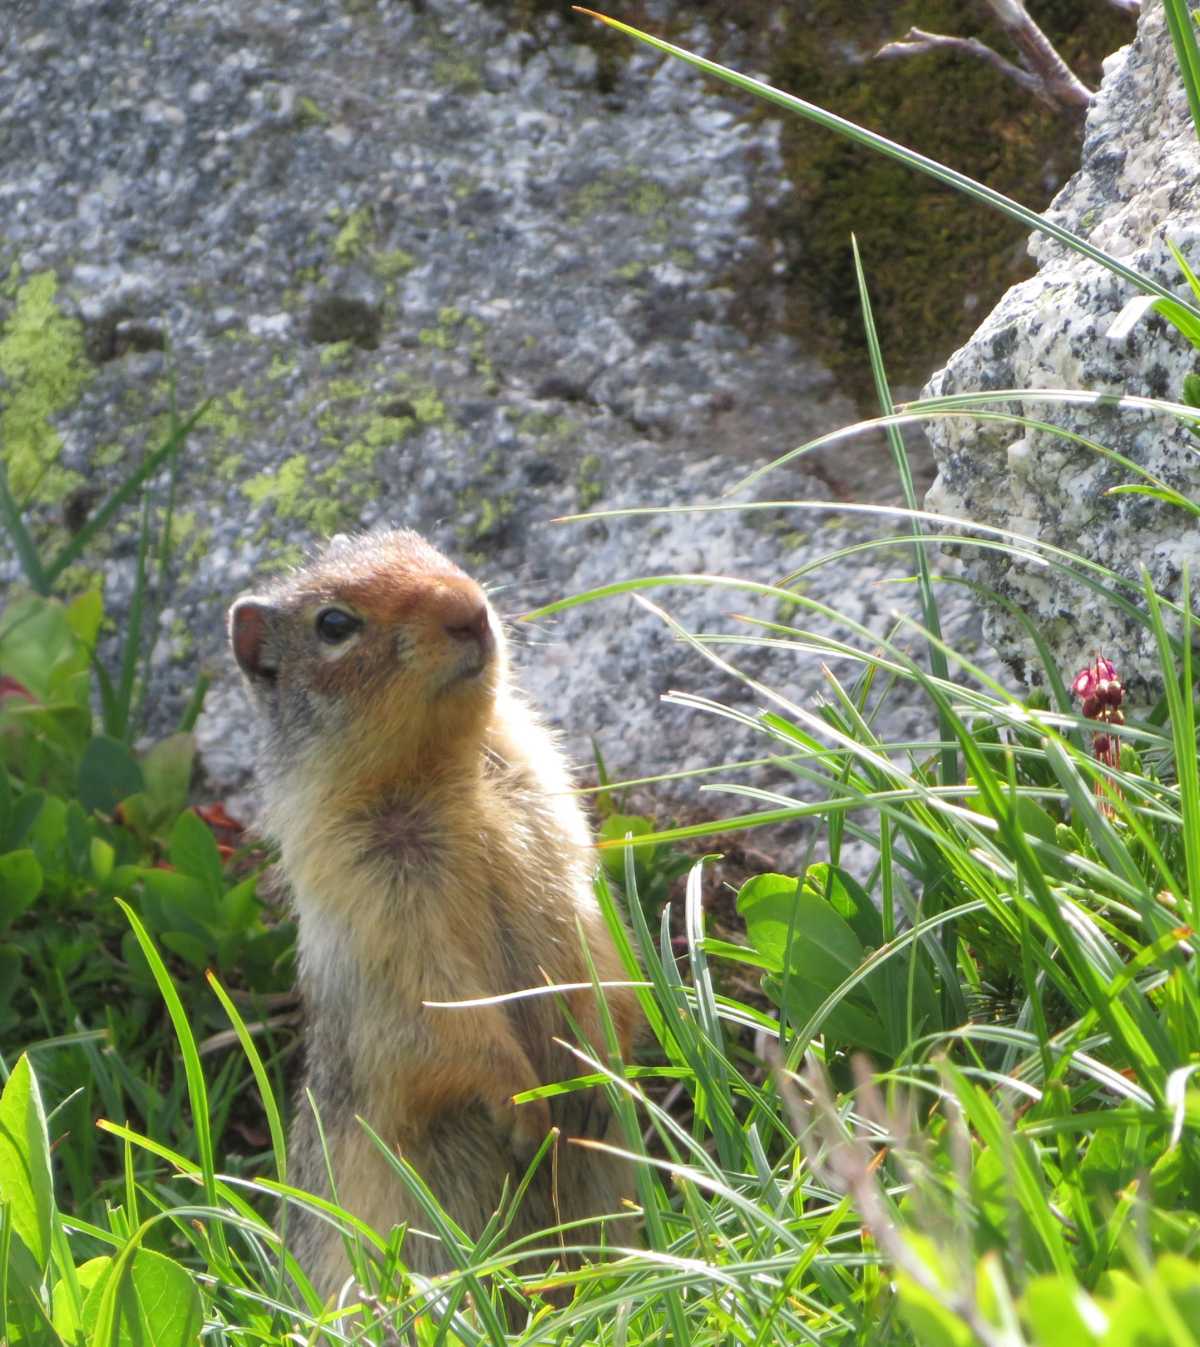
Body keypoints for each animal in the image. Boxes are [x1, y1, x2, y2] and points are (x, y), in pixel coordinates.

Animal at [231, 528, 643, 1293]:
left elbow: (591, 941)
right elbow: (445, 1018)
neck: (446, 772)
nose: (468, 608)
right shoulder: (381, 910)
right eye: (334, 624)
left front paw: (600, 1063)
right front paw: (527, 1110)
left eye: (427, 547)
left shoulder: (555, 828)